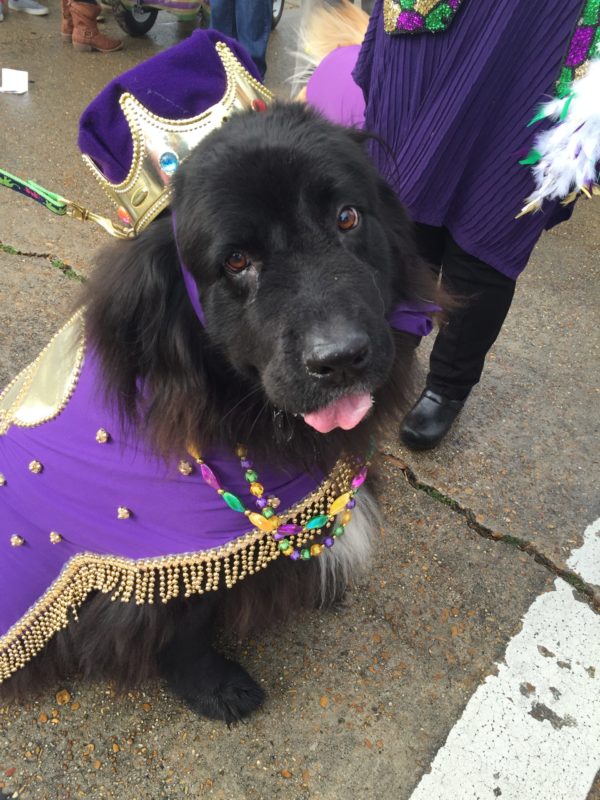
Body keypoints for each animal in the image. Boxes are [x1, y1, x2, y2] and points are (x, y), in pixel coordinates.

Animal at [0, 102, 440, 723]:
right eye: (236, 260)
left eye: (348, 217)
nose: (341, 358)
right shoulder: (160, 557)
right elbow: (186, 621)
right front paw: (215, 688)